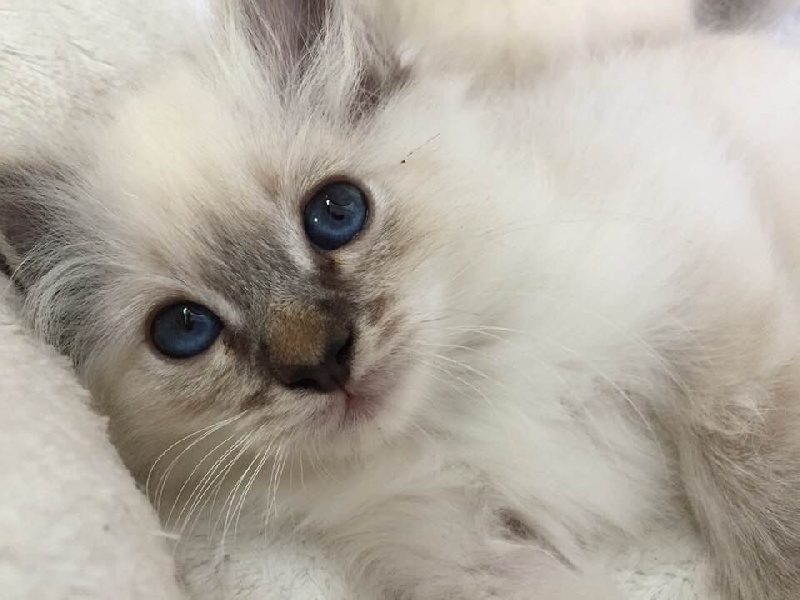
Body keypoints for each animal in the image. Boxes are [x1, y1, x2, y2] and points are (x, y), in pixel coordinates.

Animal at [1, 1, 800, 600]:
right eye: (186, 329)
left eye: (336, 212)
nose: (322, 362)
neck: (458, 403)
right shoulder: (460, 549)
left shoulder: (702, 267)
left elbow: (743, 455)